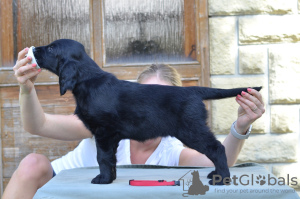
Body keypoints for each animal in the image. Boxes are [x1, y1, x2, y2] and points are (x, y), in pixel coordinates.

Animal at [32, 38, 262, 185]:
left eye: (51, 49)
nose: (33, 49)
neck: (89, 80)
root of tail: (193, 90)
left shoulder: (103, 132)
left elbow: (102, 158)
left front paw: (102, 180)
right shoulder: (111, 136)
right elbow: (111, 159)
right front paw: (111, 178)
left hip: (191, 130)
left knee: (216, 148)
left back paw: (221, 179)